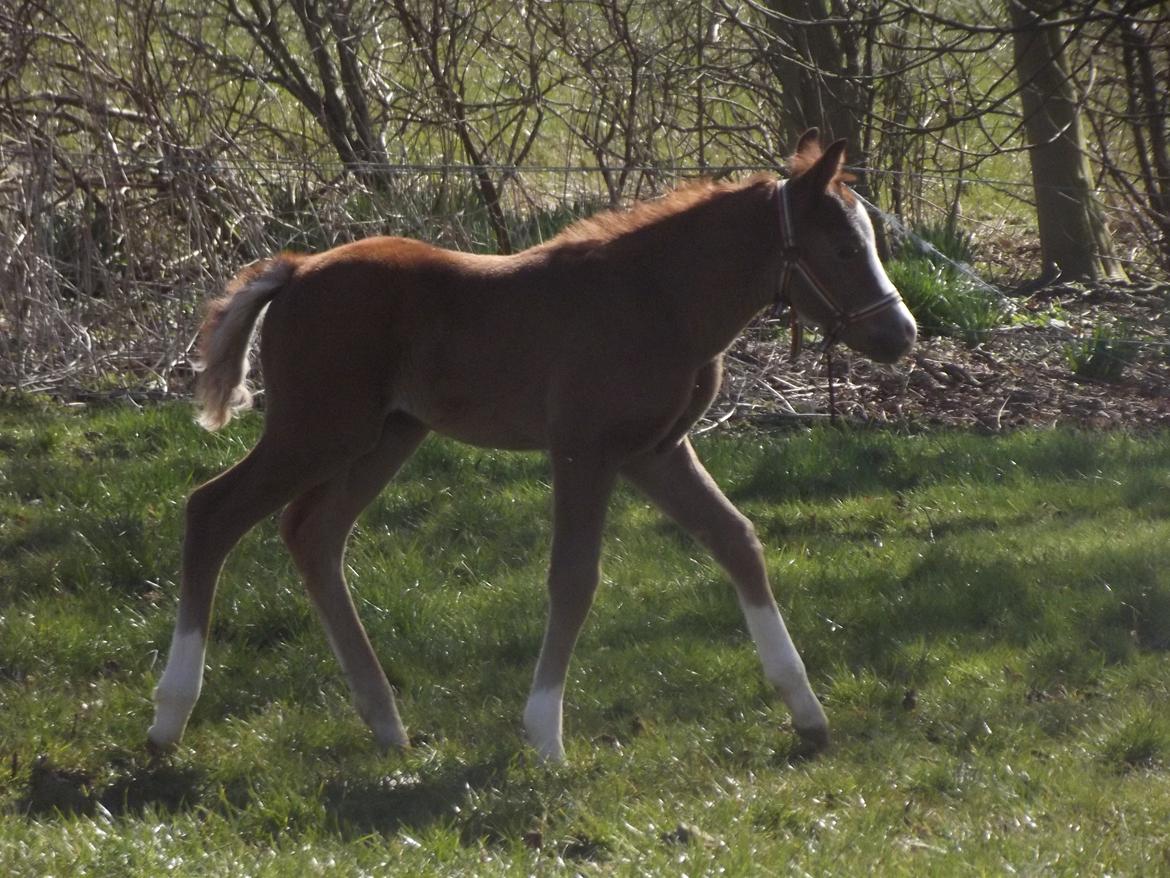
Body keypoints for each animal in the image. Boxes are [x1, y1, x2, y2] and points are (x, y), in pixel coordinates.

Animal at [147, 130, 916, 762]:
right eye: (845, 248)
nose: (902, 334)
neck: (659, 300)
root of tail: (298, 269)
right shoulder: (584, 450)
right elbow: (573, 578)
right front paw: (545, 735)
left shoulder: (655, 453)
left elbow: (737, 541)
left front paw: (806, 712)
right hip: (317, 430)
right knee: (211, 512)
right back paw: (170, 715)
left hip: (387, 436)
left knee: (313, 532)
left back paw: (385, 721)